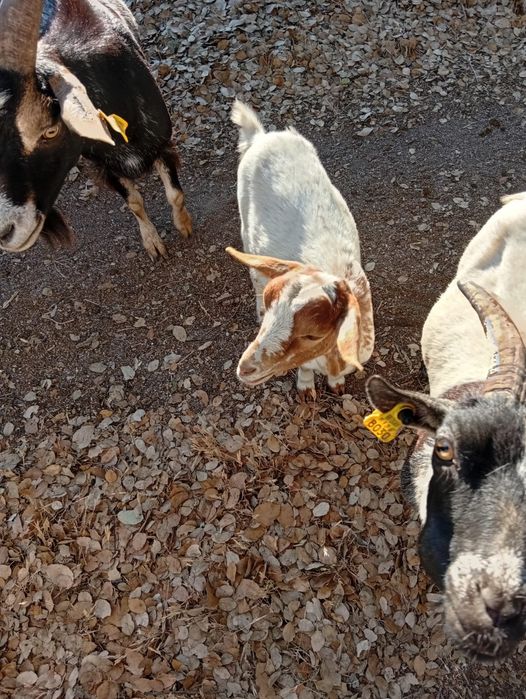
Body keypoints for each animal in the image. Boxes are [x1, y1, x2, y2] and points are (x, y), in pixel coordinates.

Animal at [0, 0, 192, 259]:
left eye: (50, 130)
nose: (5, 230)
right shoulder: (105, 164)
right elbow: (134, 202)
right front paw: (153, 243)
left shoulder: (161, 143)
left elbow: (175, 195)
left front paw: (184, 225)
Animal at [226, 100, 375, 399]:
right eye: (271, 305)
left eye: (312, 335)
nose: (246, 368)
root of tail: (261, 136)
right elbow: (304, 369)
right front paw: (306, 389)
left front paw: (336, 385)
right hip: (245, 223)